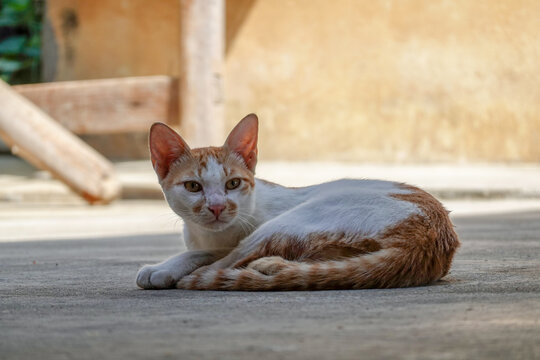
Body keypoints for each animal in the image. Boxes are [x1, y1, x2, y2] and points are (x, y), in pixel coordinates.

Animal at [136, 114, 460, 292]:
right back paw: (273, 267)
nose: (217, 207)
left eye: (233, 184)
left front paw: (167, 267)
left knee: (223, 264)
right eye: (193, 186)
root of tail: (431, 236)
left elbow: (209, 253)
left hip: (294, 219)